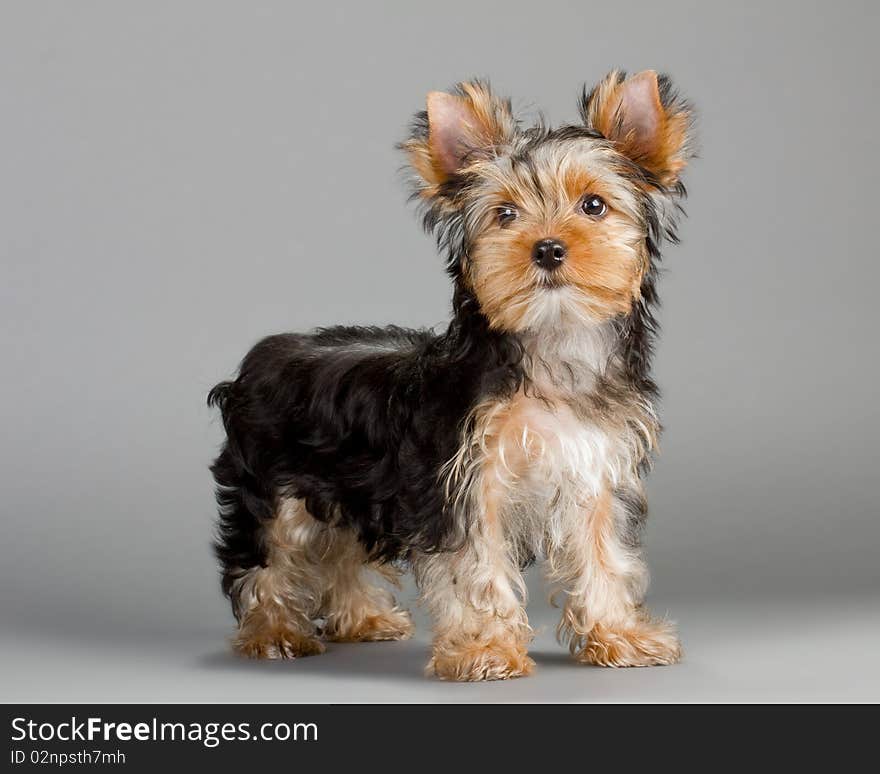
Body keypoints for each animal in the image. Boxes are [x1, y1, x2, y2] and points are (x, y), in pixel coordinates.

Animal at [208, 69, 696, 684]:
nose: (548, 248)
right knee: (267, 555)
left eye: (594, 205)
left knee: (342, 545)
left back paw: (363, 618)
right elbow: (475, 566)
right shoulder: (461, 481)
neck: (551, 347)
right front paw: (485, 650)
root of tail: (263, 357)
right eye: (505, 214)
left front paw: (620, 635)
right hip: (274, 485)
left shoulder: (596, 469)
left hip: (347, 486)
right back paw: (273, 631)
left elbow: (605, 554)